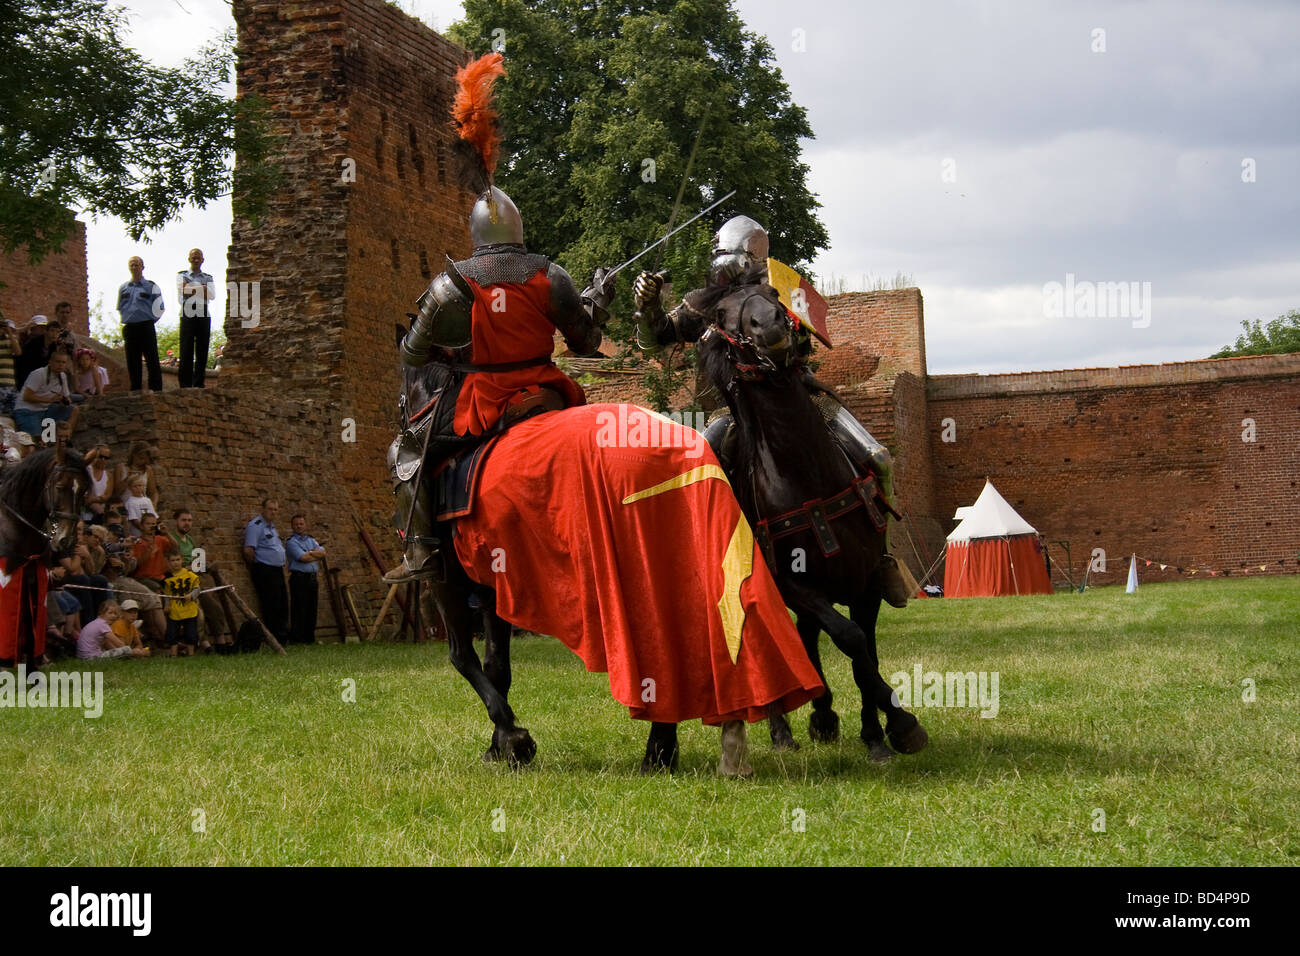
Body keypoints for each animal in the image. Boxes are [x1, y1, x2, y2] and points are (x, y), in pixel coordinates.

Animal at [702, 283, 925, 764]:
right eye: (722, 314)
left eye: (770, 292)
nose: (769, 325)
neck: (806, 473)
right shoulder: (792, 585)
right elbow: (850, 639)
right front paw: (900, 722)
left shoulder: (866, 582)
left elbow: (865, 652)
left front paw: (877, 733)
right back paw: (785, 728)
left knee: (807, 634)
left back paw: (823, 714)